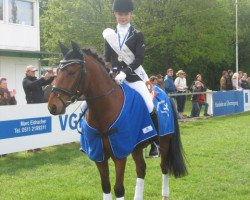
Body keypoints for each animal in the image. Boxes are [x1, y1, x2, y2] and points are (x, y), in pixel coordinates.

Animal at [47, 41, 187, 199]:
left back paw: (164, 194)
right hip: (137, 147)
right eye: (57, 72)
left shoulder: (119, 153)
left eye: (71, 72)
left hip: (164, 140)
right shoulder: (99, 155)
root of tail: (164, 93)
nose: (52, 106)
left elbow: (118, 188)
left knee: (164, 167)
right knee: (141, 169)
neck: (105, 109)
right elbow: (106, 186)